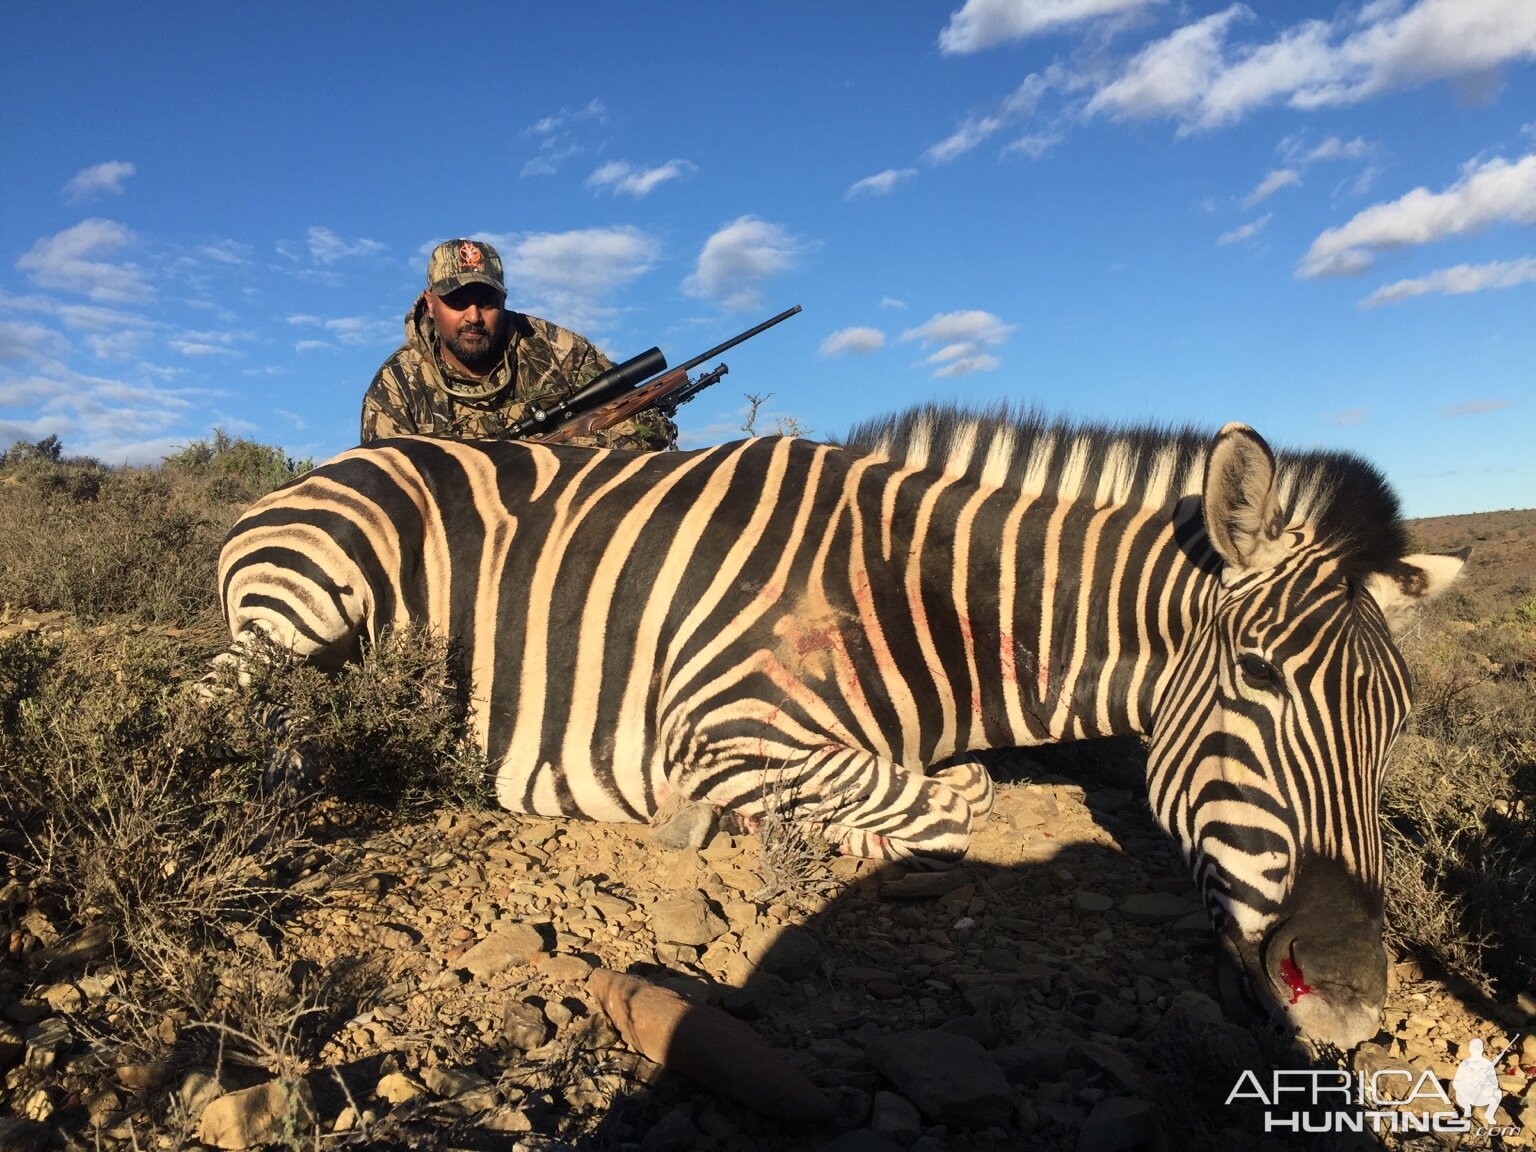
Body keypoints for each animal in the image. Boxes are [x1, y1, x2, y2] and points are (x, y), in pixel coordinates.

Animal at [216, 411, 1462, 1050]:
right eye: (1256, 678)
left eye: (1397, 724)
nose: (1352, 997)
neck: (932, 602)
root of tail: (300, 478)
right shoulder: (717, 724)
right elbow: (945, 809)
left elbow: (959, 788)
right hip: (307, 601)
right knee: (234, 711)